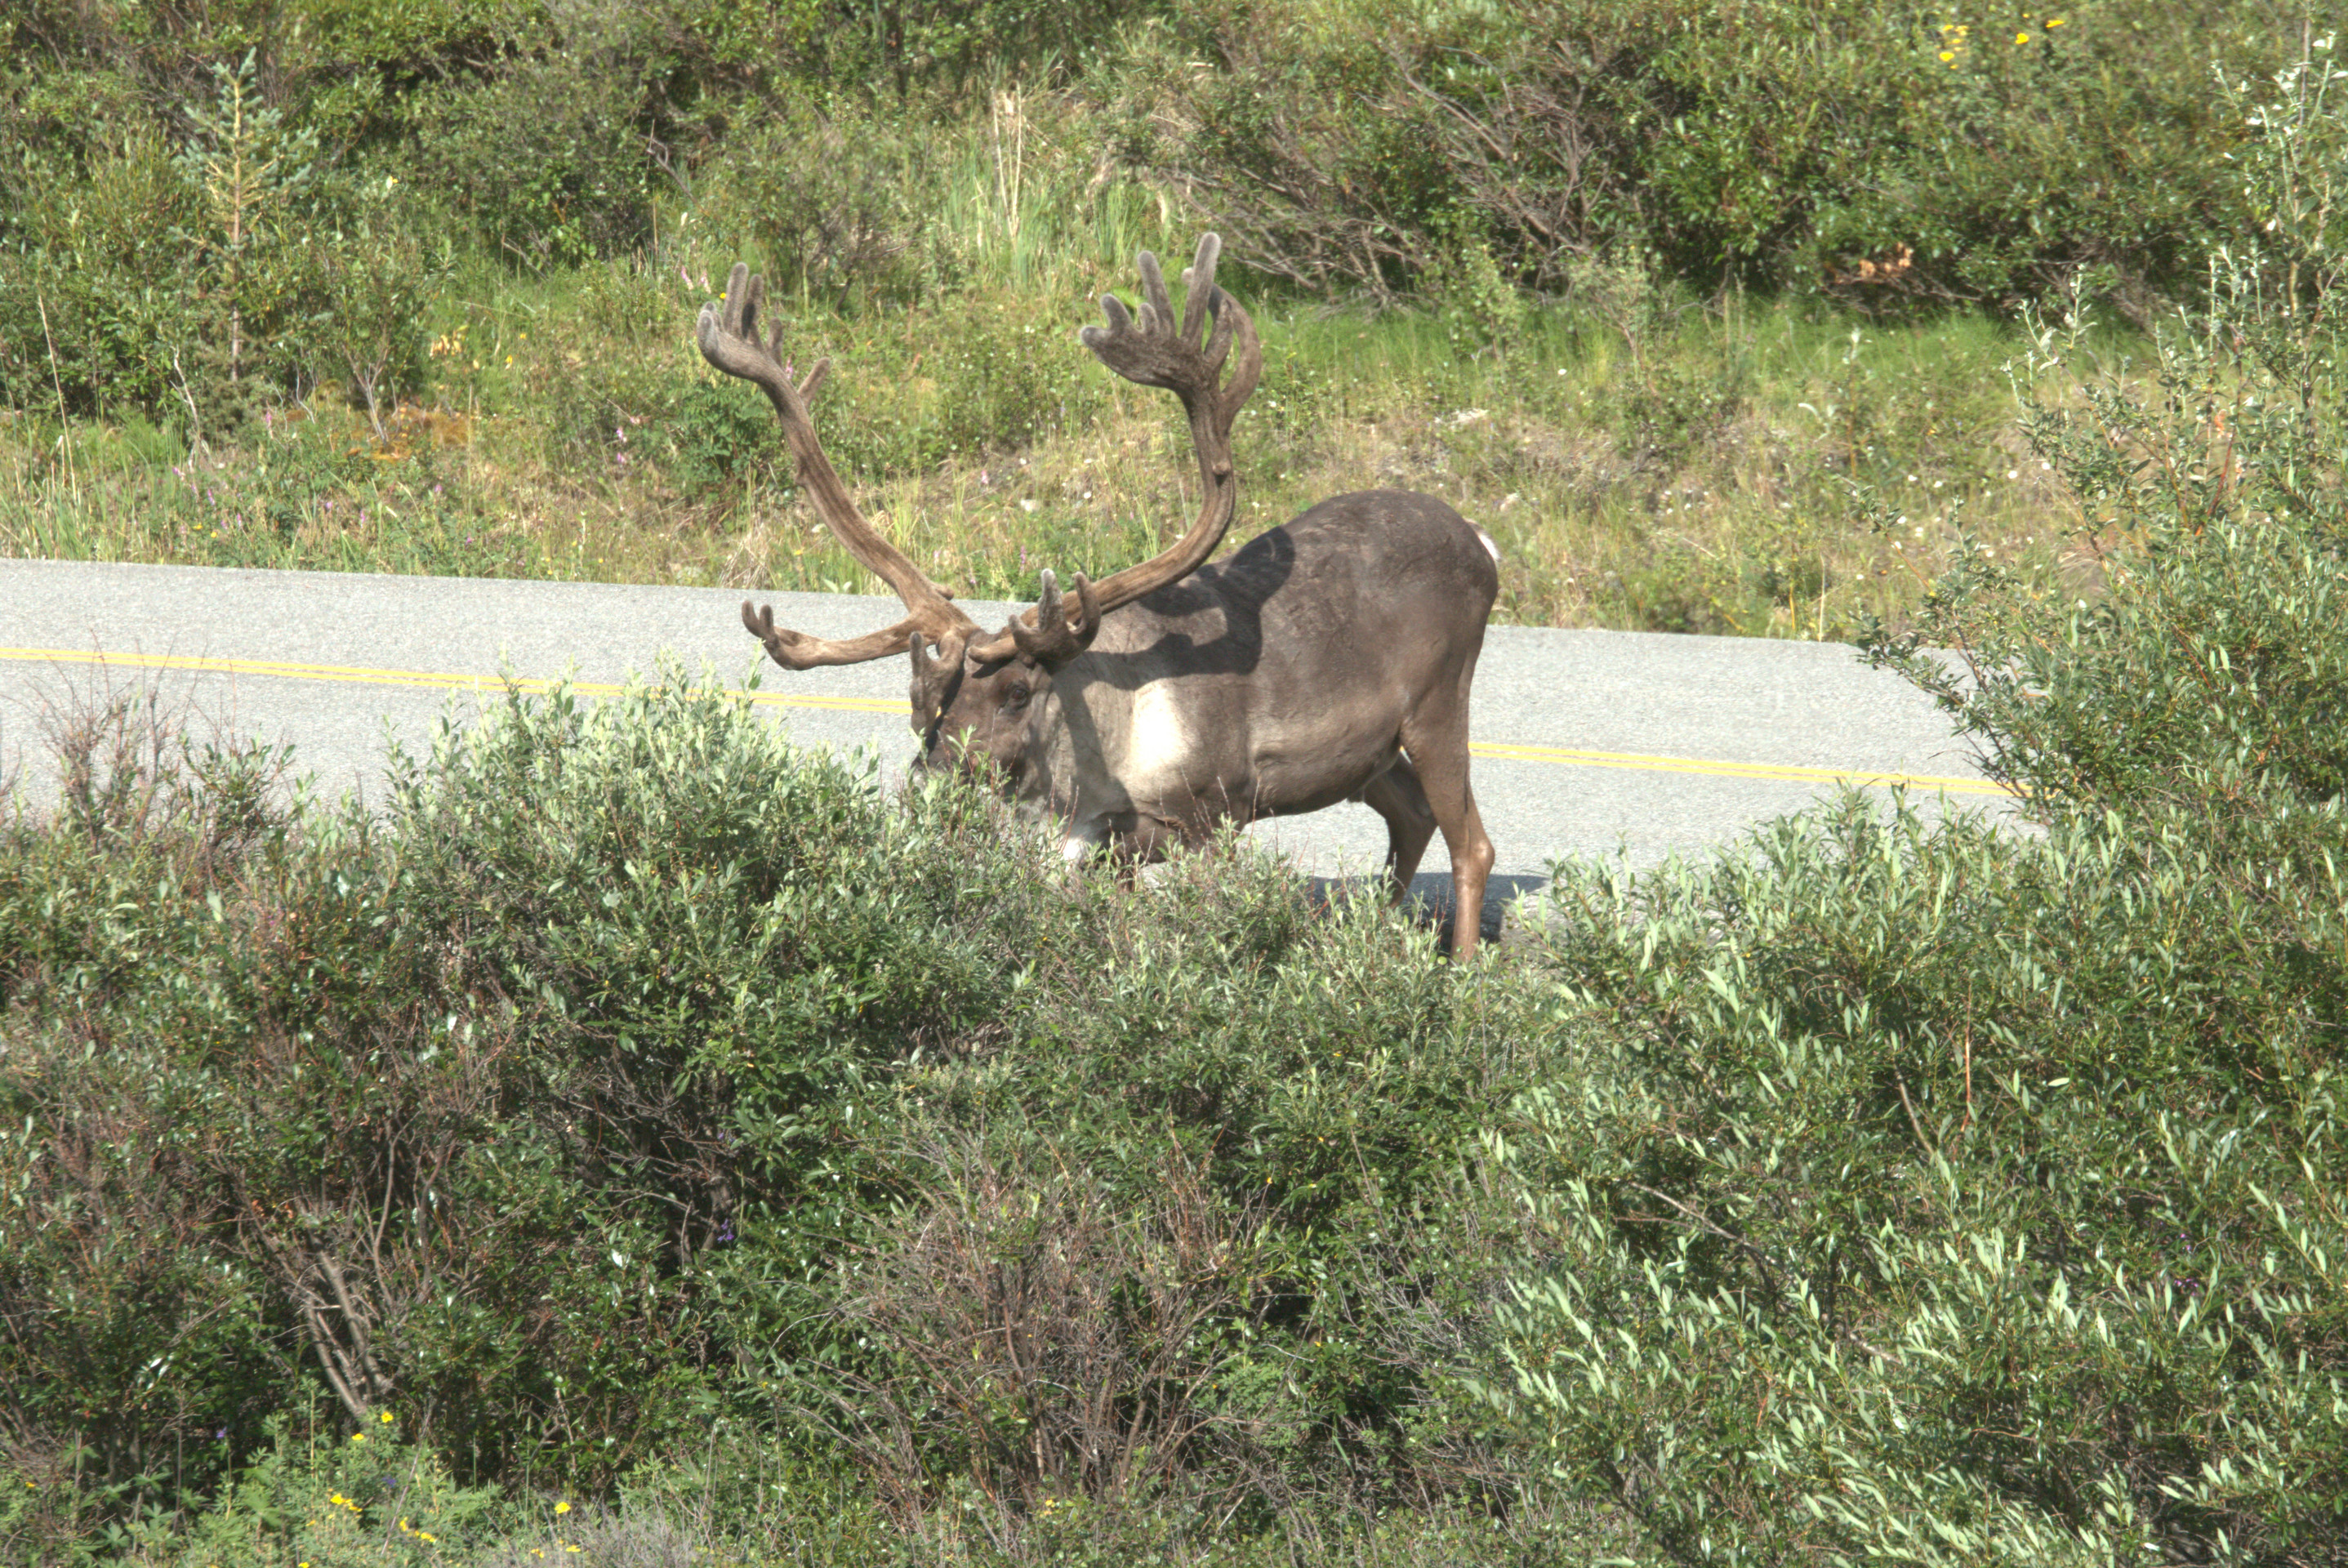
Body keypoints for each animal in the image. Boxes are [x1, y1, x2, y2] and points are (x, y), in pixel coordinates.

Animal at [700, 235, 1501, 955]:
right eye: (920, 699)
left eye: (1017, 693)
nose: (928, 787)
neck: (1090, 776)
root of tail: (1482, 543)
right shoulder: (1108, 844)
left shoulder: (1216, 809)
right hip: (1368, 754)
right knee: (1411, 816)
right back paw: (1369, 937)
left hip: (1438, 701)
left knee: (1473, 843)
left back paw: (1460, 975)